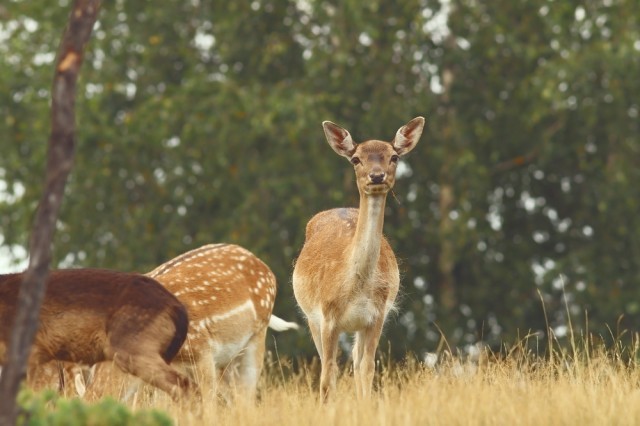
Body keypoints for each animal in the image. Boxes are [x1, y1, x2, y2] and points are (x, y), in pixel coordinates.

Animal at [292, 116, 422, 400]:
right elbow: (327, 376)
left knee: (356, 358)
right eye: (355, 159)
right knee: (328, 363)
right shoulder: (327, 315)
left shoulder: (376, 316)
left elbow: (367, 369)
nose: (377, 175)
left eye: (394, 156)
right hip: (311, 318)